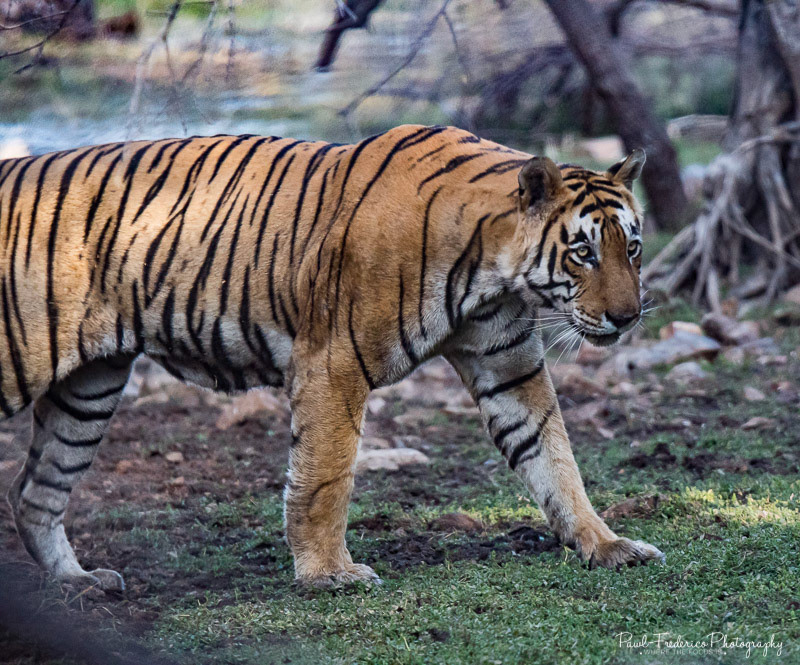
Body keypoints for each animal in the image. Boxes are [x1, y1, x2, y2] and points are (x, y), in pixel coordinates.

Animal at [0, 124, 664, 590]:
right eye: (583, 252)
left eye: (630, 247)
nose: (628, 316)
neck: (495, 273)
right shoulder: (333, 362)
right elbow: (325, 475)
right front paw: (328, 574)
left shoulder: (509, 368)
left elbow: (555, 459)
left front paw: (606, 544)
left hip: (89, 390)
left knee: (35, 491)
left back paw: (79, 582)